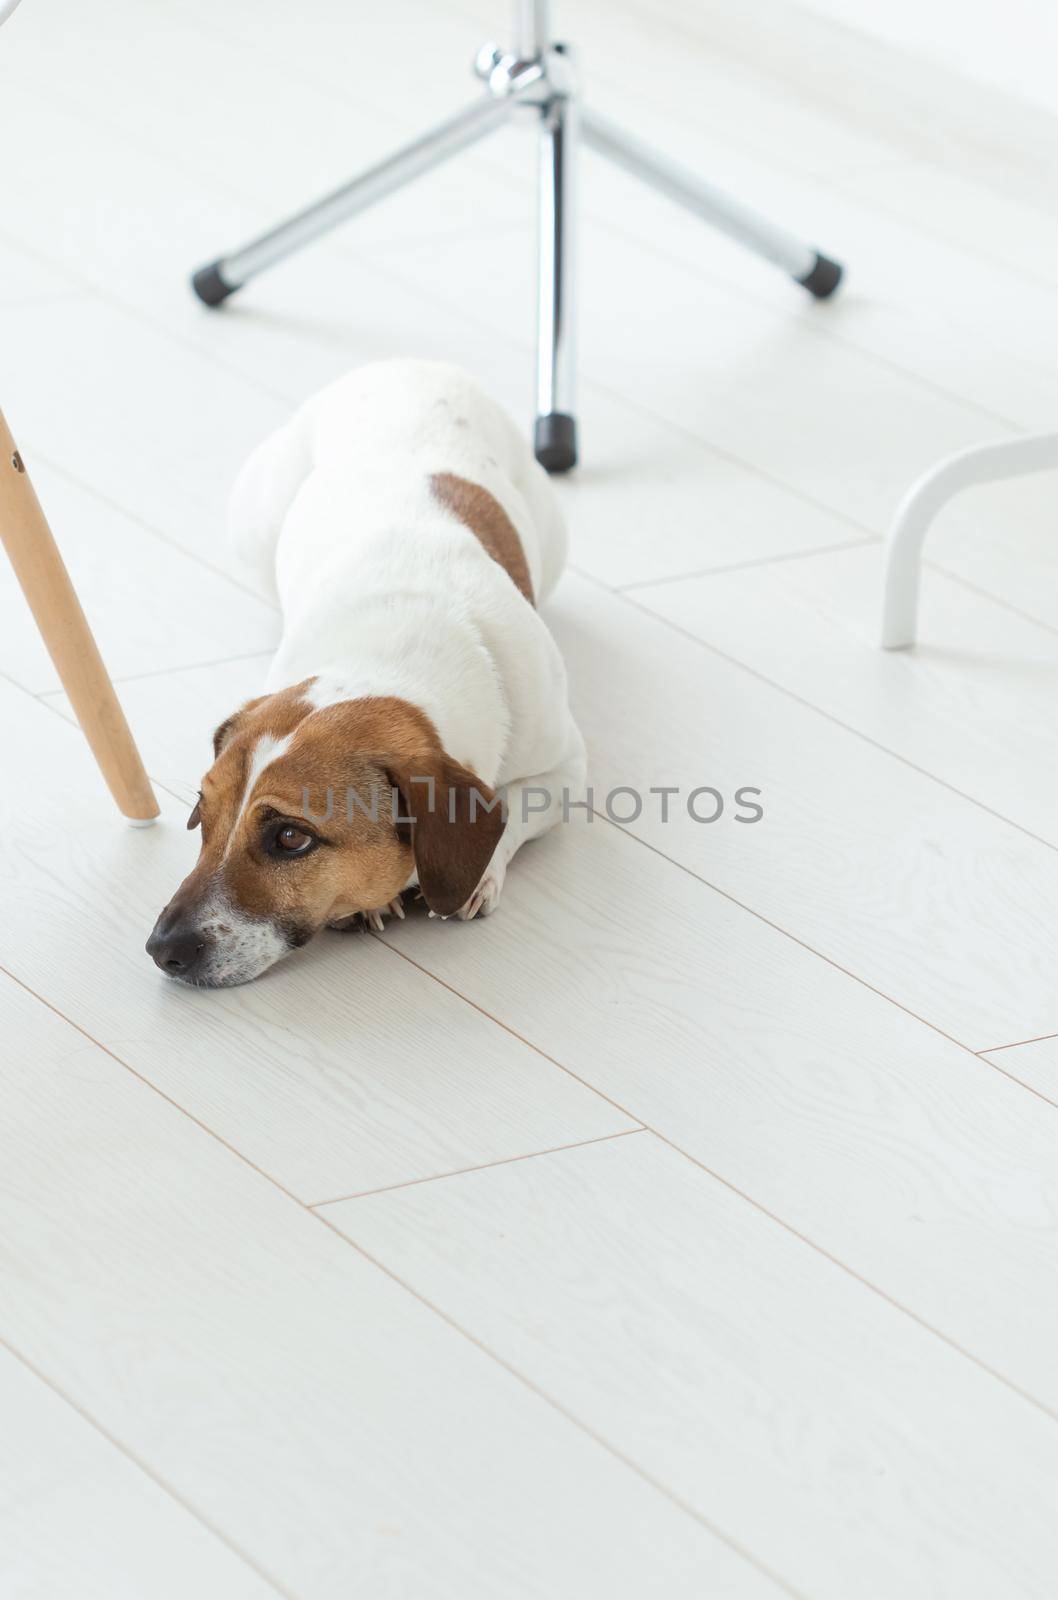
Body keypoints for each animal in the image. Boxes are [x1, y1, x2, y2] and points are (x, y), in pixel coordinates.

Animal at [144, 363, 585, 985]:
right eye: (204, 816)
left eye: (290, 837)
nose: (162, 950)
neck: (389, 647)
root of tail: (406, 363)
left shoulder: (567, 766)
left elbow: (517, 807)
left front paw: (481, 872)